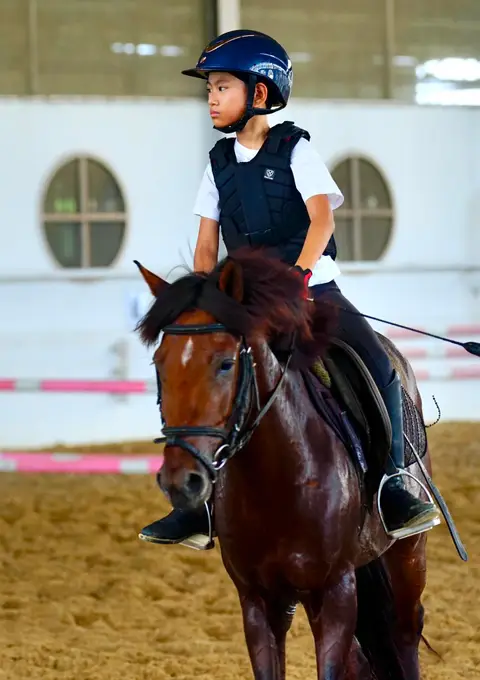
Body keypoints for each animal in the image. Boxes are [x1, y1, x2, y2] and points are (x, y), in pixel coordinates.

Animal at [134, 248, 434, 680]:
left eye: (225, 363)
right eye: (159, 363)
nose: (180, 481)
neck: (274, 480)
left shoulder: (334, 592)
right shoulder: (259, 600)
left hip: (408, 553)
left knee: (404, 632)